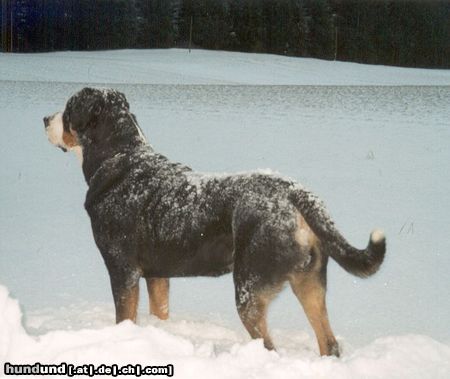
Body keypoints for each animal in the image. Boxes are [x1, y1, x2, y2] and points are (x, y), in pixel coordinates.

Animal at [44, 87, 384, 358]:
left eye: (69, 108)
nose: (45, 119)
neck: (120, 157)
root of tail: (294, 192)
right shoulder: (157, 276)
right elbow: (159, 313)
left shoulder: (122, 270)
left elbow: (124, 319)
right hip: (309, 284)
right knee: (329, 343)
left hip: (249, 290)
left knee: (268, 346)